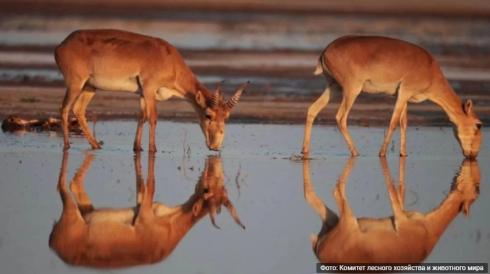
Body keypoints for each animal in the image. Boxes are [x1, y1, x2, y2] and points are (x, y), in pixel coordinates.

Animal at [49, 152, 245, 268]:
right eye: (206, 190)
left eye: (223, 191)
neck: (170, 230)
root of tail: (53, 244)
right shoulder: (144, 212)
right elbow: (150, 184)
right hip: (70, 209)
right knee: (63, 185)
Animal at [55, 29, 251, 153]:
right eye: (208, 115)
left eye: (226, 117)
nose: (215, 145)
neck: (169, 60)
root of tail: (61, 46)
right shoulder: (149, 89)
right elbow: (153, 118)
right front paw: (153, 149)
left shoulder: (143, 94)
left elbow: (142, 117)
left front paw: (138, 148)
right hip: (75, 84)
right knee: (64, 108)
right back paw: (67, 146)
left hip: (90, 87)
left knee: (78, 110)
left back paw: (97, 146)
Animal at [302, 35, 482, 158]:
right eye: (479, 125)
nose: (473, 155)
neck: (431, 70)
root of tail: (325, 51)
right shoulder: (405, 92)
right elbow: (393, 122)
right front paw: (382, 153)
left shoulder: (403, 96)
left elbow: (404, 122)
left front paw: (403, 153)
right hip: (351, 89)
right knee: (340, 117)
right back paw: (355, 152)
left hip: (334, 87)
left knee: (312, 109)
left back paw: (305, 150)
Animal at [304, 155, 480, 262]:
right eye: (475, 192)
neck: (428, 231)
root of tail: (319, 252)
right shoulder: (401, 219)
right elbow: (393, 192)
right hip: (348, 220)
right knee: (335, 191)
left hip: (331, 219)